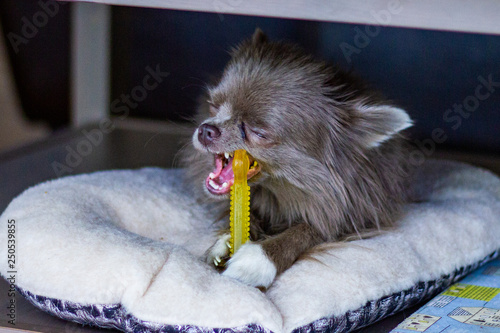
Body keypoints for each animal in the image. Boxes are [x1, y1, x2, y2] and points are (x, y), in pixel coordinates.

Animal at [182, 29, 412, 288]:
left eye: (259, 133)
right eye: (212, 106)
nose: (206, 130)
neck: (284, 190)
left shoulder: (349, 215)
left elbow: (307, 231)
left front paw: (259, 259)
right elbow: (249, 215)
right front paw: (226, 241)